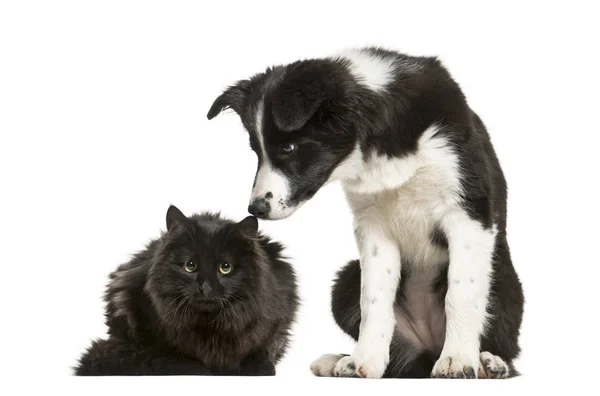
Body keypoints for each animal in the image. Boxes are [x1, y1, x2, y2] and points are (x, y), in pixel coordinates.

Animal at [75, 206, 300, 376]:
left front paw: (259, 367)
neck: (210, 326)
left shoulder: (279, 318)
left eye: (225, 267)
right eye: (190, 266)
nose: (205, 287)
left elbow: (266, 346)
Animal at [207, 48, 524, 378]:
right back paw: (339, 360)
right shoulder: (373, 226)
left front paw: (458, 359)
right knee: (403, 358)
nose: (255, 209)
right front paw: (365, 360)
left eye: (289, 148)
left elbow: (461, 293)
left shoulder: (466, 213)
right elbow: (373, 300)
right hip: (345, 280)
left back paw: (488, 362)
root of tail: (428, 346)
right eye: (256, 151)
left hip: (502, 276)